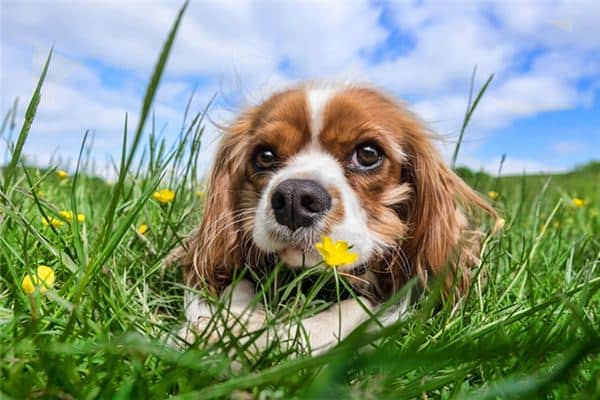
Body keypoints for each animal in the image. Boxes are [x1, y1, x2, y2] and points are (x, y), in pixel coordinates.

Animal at [173, 83, 496, 356]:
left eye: (368, 153)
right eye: (264, 156)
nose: (294, 197)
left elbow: (355, 307)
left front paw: (274, 339)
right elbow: (233, 286)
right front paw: (223, 326)